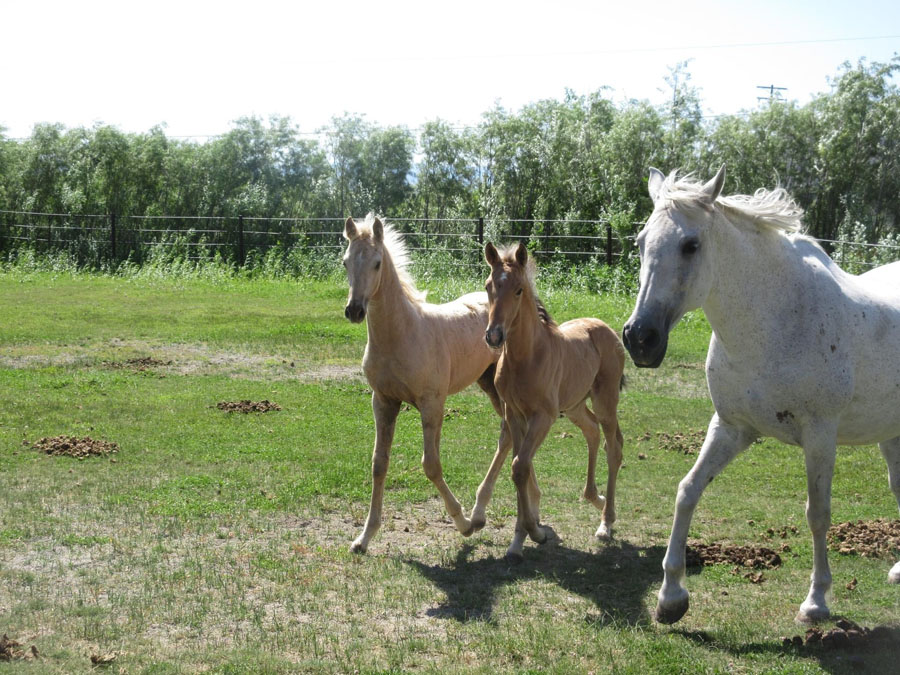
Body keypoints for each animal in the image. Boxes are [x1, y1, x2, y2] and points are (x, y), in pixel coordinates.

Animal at [342, 214, 512, 553]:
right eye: (345, 262)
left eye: (377, 263)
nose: (354, 310)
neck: (401, 335)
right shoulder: (383, 401)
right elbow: (379, 463)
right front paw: (364, 538)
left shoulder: (432, 402)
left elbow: (431, 464)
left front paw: (463, 524)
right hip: (487, 382)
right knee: (509, 433)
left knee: (510, 432)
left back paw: (479, 514)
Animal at [482, 241, 626, 560]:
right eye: (488, 286)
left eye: (519, 290)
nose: (494, 336)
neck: (526, 357)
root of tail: (606, 328)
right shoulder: (514, 414)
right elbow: (518, 468)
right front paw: (518, 540)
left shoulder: (543, 417)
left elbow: (520, 466)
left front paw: (535, 533)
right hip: (574, 406)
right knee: (592, 432)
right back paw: (594, 497)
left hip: (604, 400)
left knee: (613, 447)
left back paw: (606, 523)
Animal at [622, 165, 900, 624]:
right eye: (641, 242)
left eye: (691, 245)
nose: (640, 338)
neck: (775, 321)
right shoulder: (731, 427)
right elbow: (687, 490)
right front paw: (671, 597)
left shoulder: (820, 436)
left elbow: (818, 514)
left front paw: (816, 601)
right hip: (891, 435)